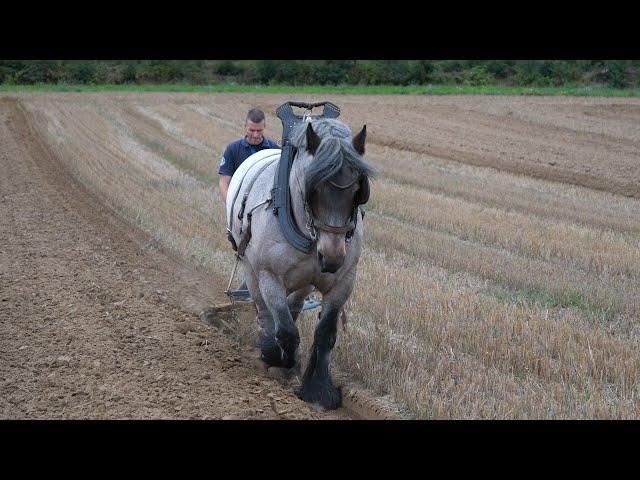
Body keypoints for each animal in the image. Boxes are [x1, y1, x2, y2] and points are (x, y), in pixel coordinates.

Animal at [225, 116, 376, 408]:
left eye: (357, 191)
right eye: (313, 189)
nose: (332, 257)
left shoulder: (343, 282)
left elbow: (326, 334)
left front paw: (319, 389)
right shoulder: (269, 275)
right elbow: (285, 329)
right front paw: (281, 360)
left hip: (304, 281)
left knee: (293, 306)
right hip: (251, 267)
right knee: (263, 309)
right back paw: (268, 347)